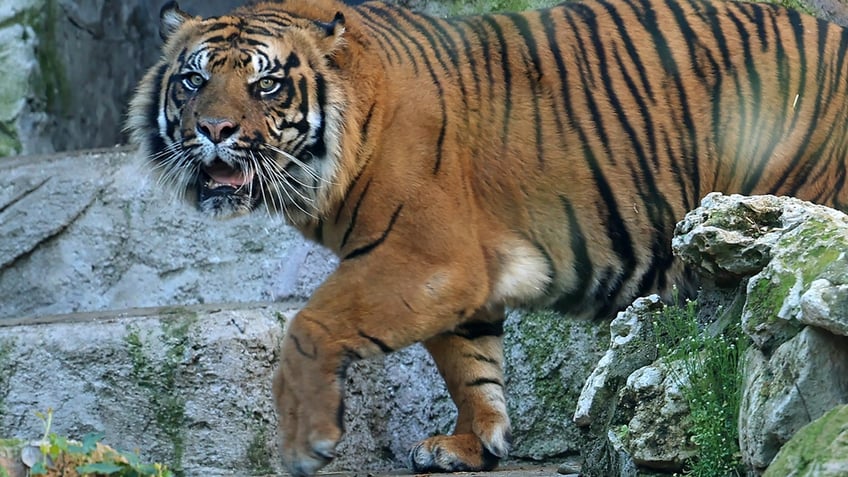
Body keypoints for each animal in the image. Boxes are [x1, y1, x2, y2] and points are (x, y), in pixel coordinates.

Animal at [127, 0, 848, 472]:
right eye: (193, 79)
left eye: (267, 83)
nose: (213, 129)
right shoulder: (461, 274)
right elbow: (468, 364)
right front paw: (473, 444)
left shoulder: (427, 257)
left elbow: (310, 325)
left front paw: (306, 442)